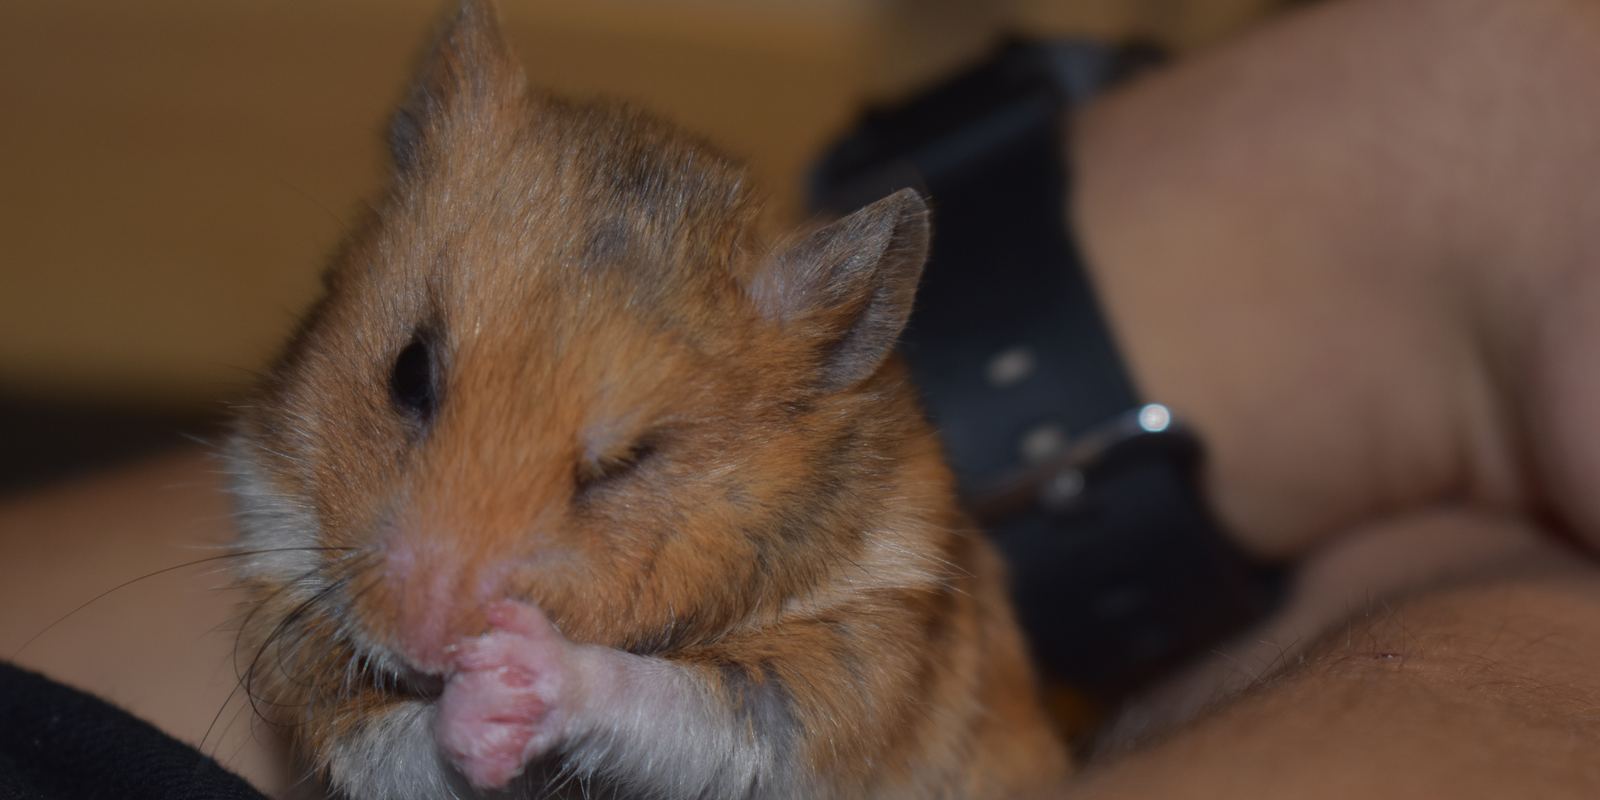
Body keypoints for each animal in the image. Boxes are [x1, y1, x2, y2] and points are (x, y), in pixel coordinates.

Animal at [226, 1, 1068, 797]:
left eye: (628, 460)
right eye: (407, 373)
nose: (426, 645)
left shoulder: (841, 673)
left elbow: (672, 699)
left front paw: (513, 672)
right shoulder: (294, 605)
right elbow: (396, 746)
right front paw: (476, 715)